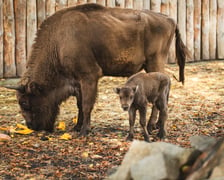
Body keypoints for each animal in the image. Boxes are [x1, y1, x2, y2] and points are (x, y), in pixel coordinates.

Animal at [7, 3, 188, 136]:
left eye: (24, 102)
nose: (32, 126)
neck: (58, 43)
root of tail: (170, 19)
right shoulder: (78, 82)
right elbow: (80, 105)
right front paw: (77, 127)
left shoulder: (89, 76)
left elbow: (87, 104)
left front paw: (83, 131)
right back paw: (156, 125)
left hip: (154, 63)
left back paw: (151, 126)